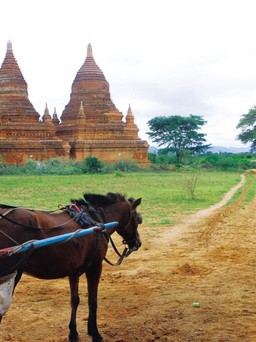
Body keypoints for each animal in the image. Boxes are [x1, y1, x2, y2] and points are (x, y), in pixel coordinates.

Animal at [0, 192, 142, 342]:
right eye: (137, 218)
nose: (138, 243)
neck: (95, 219)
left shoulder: (74, 271)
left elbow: (75, 300)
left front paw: (73, 332)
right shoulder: (95, 267)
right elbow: (92, 300)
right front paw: (95, 333)